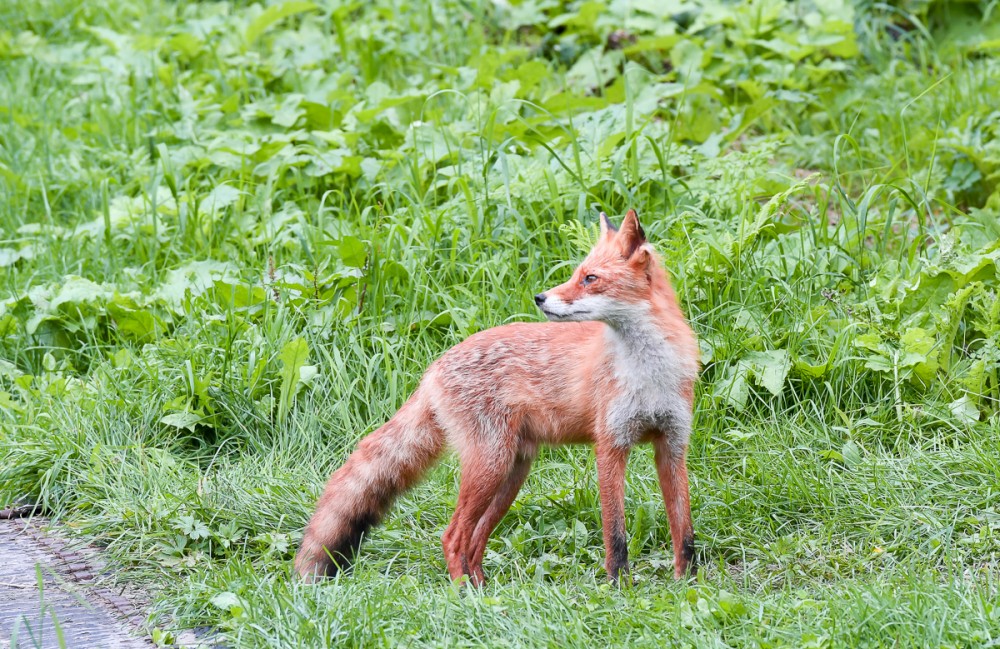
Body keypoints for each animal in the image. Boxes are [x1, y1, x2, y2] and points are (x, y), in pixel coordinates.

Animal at [294, 210, 704, 584]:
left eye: (590, 279)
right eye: (577, 274)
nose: (540, 297)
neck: (649, 374)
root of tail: (433, 368)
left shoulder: (672, 443)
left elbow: (684, 531)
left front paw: (687, 584)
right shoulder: (610, 445)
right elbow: (615, 535)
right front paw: (620, 587)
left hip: (511, 471)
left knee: (474, 541)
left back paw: (484, 591)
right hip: (491, 465)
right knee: (453, 536)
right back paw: (465, 595)